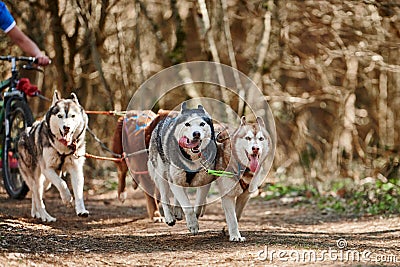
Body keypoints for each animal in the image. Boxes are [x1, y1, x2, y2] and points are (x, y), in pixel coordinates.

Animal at [18, 91, 89, 223]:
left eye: (73, 116)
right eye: (60, 116)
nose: (66, 127)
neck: (63, 148)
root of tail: (24, 133)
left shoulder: (76, 168)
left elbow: (79, 192)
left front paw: (81, 210)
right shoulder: (47, 169)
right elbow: (62, 183)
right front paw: (67, 198)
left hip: (46, 183)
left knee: (35, 195)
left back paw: (36, 213)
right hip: (37, 177)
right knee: (37, 196)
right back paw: (45, 216)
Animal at [146, 102, 216, 234]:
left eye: (202, 124)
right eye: (187, 124)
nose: (196, 133)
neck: (192, 159)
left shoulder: (205, 182)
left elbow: (198, 203)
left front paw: (196, 216)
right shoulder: (174, 181)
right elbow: (187, 207)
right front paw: (193, 224)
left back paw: (178, 211)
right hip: (162, 176)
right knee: (165, 197)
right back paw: (169, 218)